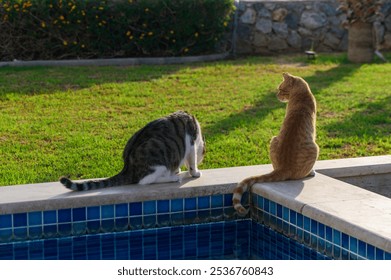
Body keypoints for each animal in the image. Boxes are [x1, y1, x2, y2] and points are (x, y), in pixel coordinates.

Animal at [59, 110, 207, 191]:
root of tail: (127, 167)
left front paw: (178, 169)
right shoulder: (191, 143)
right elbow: (192, 162)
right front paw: (195, 172)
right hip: (157, 162)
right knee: (145, 181)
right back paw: (172, 178)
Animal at [233, 72, 318, 214]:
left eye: (281, 89)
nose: (277, 95)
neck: (301, 94)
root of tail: (283, 168)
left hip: (273, 139)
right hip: (315, 148)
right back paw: (311, 172)